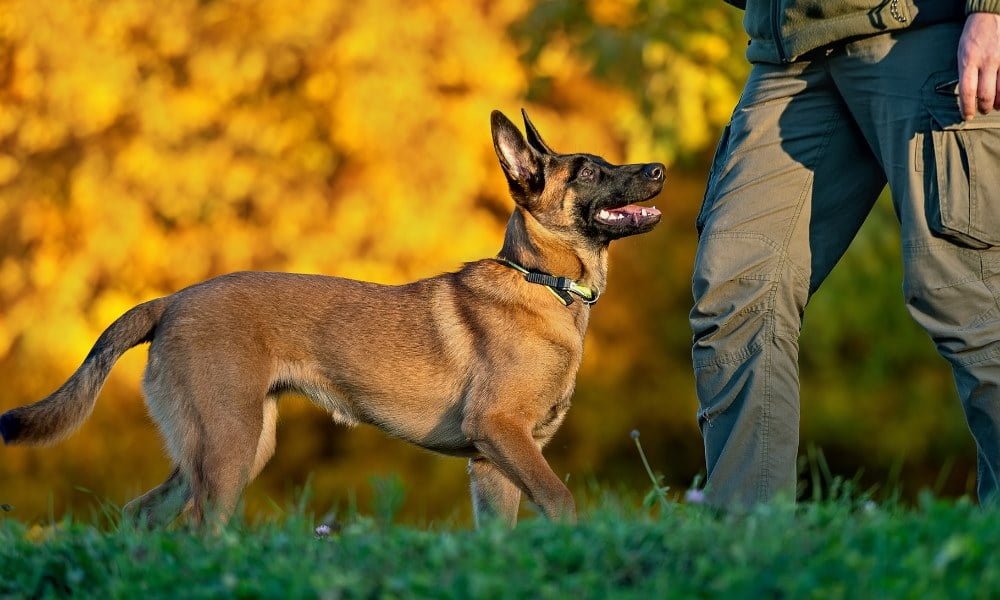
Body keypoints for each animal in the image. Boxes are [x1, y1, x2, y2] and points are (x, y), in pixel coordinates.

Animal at [0, 110, 664, 528]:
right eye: (589, 170)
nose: (658, 168)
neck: (543, 283)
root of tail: (173, 300)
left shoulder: (490, 463)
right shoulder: (504, 435)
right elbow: (563, 502)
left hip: (230, 445)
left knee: (143, 514)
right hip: (228, 444)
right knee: (196, 525)